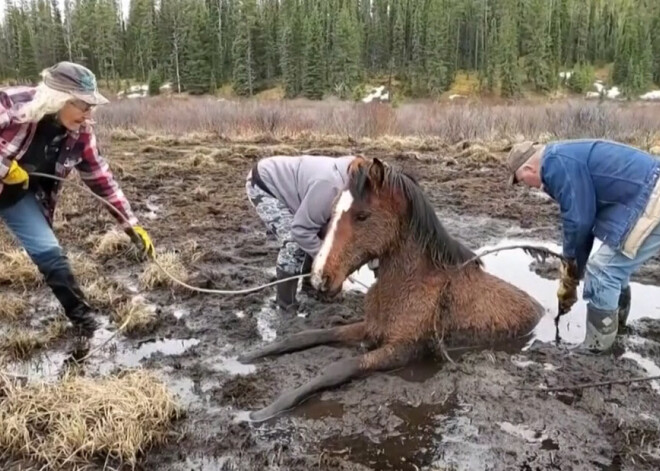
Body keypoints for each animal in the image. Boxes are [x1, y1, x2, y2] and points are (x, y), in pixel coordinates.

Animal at [240, 158, 544, 420]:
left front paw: (268, 410)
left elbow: (335, 369)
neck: (410, 285)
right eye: (333, 212)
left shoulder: (403, 350)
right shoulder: (371, 327)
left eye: (362, 216)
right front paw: (250, 356)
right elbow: (306, 336)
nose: (321, 278)